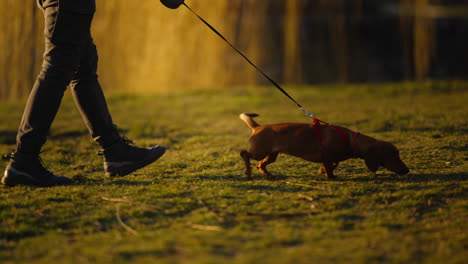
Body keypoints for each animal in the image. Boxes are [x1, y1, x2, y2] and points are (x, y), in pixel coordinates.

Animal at [239, 113, 408, 179]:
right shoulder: (325, 154)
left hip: (271, 155)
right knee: (245, 154)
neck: (350, 140)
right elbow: (330, 165)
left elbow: (334, 163)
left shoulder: (332, 157)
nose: (407, 170)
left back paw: (269, 175)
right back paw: (248, 172)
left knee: (260, 165)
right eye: (393, 155)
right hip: (259, 152)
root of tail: (258, 127)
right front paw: (330, 176)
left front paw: (323, 170)